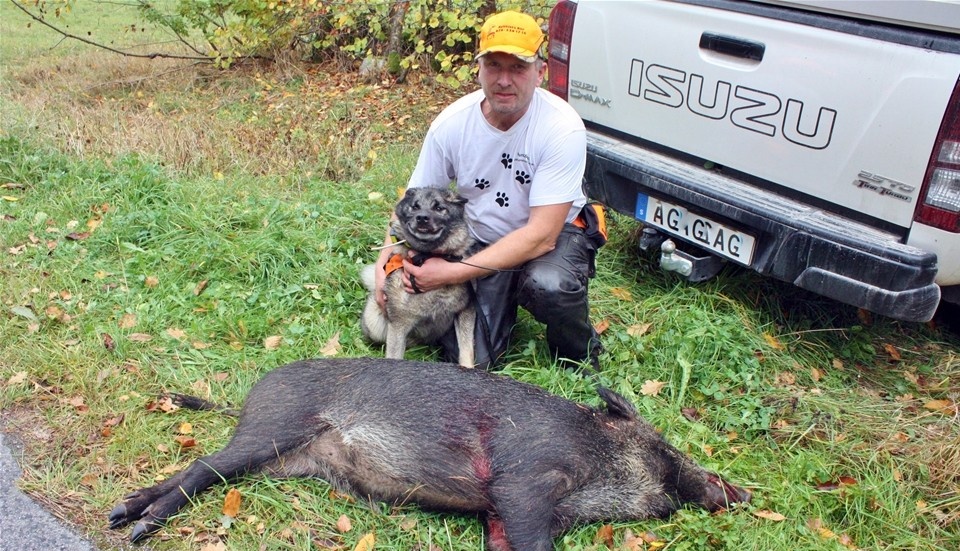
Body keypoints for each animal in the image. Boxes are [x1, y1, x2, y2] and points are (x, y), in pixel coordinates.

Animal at [360, 189, 480, 366]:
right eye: (414, 206)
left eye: (439, 208)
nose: (422, 217)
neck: (426, 256)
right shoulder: (399, 323)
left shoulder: (465, 311)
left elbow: (466, 351)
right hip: (374, 323)